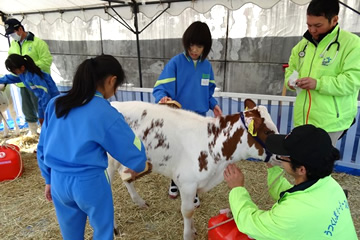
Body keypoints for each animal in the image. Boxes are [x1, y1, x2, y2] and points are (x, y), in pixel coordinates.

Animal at [107, 98, 278, 239]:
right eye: (267, 131)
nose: (281, 155)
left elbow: (193, 208)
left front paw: (193, 229)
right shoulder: (187, 183)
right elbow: (188, 211)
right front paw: (188, 235)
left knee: (125, 175)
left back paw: (140, 202)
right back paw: (114, 228)